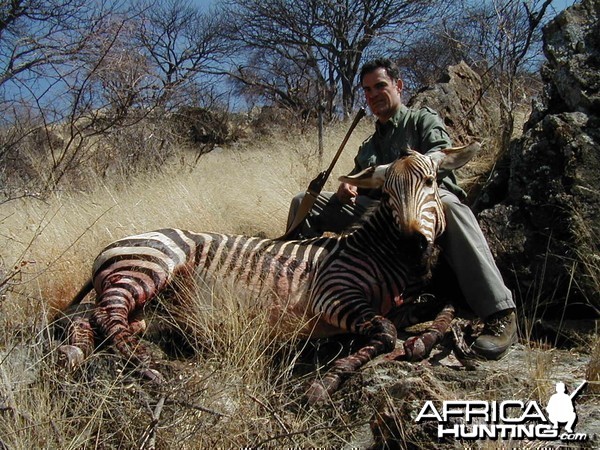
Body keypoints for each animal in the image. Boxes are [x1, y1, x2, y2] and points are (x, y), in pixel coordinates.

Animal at [55, 143, 478, 404]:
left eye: (430, 183)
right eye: (388, 196)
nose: (413, 245)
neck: (375, 253)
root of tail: (117, 242)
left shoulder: (401, 303)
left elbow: (444, 305)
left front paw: (427, 341)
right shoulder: (333, 294)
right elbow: (386, 333)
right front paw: (327, 381)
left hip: (147, 303)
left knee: (91, 316)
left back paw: (74, 353)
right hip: (149, 267)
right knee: (106, 315)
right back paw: (149, 366)